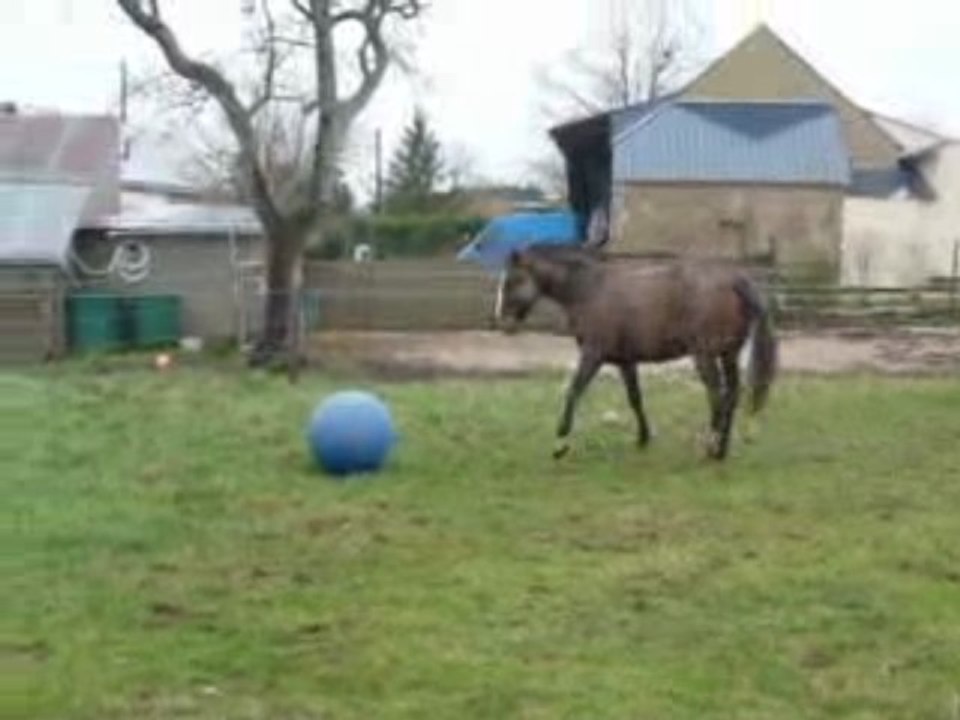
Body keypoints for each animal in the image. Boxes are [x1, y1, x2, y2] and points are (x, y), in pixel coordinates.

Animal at [493, 245, 778, 461]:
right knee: (732, 395)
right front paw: (643, 438)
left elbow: (574, 392)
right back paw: (721, 450)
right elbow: (635, 399)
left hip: (704, 355)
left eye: (513, 280)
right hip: (728, 355)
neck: (590, 290)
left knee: (717, 396)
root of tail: (734, 280)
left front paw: (560, 444)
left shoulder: (593, 354)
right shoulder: (625, 361)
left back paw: (711, 445)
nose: (503, 323)